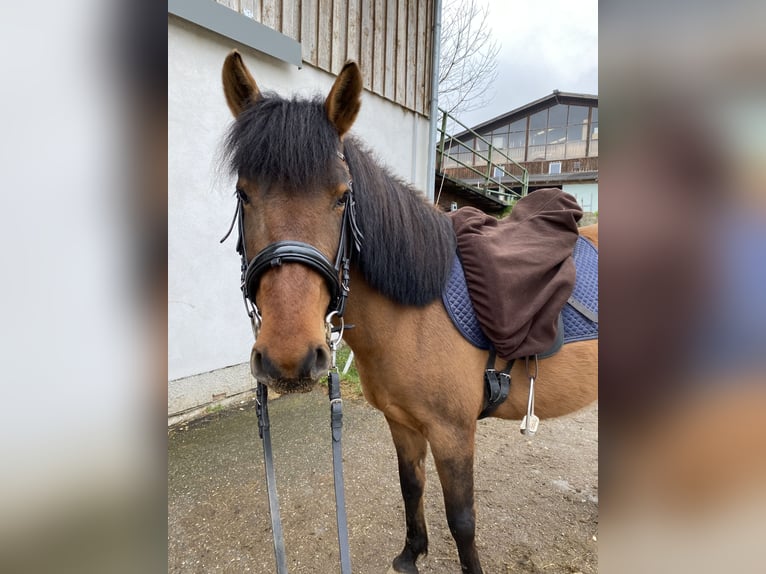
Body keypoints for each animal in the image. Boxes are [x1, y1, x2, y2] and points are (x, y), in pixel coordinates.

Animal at [219, 50, 596, 574]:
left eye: (342, 196)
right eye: (244, 193)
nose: (289, 359)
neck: (415, 312)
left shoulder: (453, 433)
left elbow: (462, 519)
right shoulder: (402, 424)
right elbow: (410, 485)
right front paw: (411, 553)